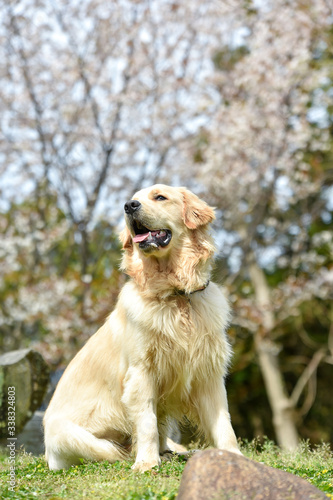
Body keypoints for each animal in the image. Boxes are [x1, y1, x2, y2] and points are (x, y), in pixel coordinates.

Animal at [43, 185, 241, 472]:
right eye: (133, 199)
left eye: (160, 197)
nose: (129, 206)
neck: (176, 295)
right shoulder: (140, 372)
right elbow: (147, 422)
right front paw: (147, 463)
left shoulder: (209, 372)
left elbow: (223, 422)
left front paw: (235, 457)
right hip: (71, 435)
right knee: (114, 451)